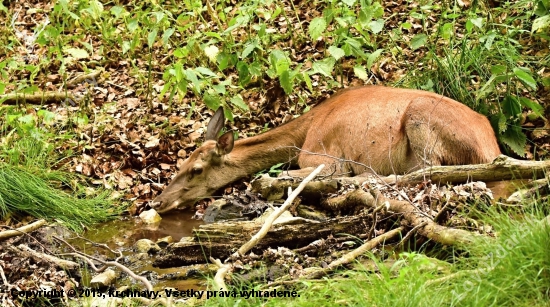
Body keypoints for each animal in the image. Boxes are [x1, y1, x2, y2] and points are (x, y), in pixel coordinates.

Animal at [150, 85, 500, 213]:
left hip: (419, 117)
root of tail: (491, 147)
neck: (305, 130)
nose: (158, 201)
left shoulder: (325, 159)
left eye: (196, 170)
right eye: (179, 165)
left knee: (427, 174)